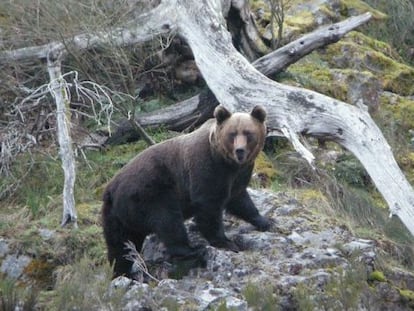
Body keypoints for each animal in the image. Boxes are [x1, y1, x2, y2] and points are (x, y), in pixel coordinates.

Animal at [102, 105, 270, 280]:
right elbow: (208, 206)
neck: (227, 163)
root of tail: (111, 189)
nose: (240, 151)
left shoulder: (238, 175)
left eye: (248, 133)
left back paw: (123, 273)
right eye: (232, 134)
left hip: (116, 216)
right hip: (149, 193)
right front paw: (226, 242)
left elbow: (240, 199)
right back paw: (192, 250)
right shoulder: (207, 168)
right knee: (168, 220)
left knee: (121, 245)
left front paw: (264, 221)